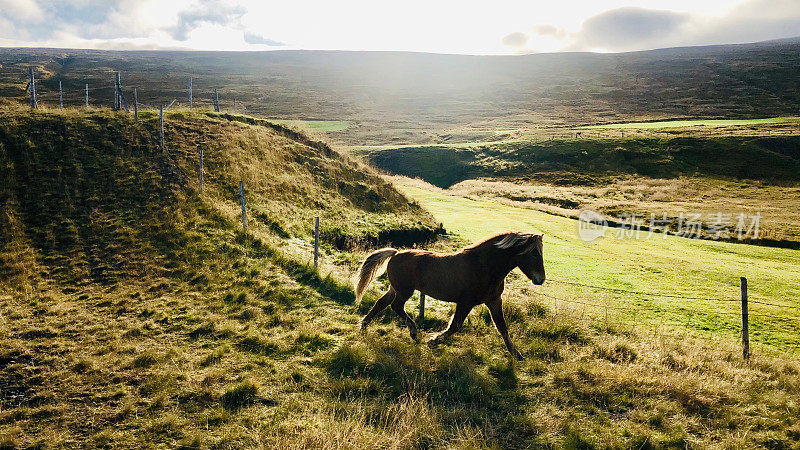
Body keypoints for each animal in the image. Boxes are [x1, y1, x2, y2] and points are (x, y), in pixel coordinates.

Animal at [354, 232, 544, 362]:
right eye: (534, 253)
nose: (540, 279)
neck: (484, 266)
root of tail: (395, 253)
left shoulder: (494, 301)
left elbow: (502, 327)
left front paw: (517, 355)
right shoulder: (466, 302)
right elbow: (455, 326)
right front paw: (433, 341)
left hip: (396, 289)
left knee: (381, 303)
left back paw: (364, 327)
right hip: (404, 290)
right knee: (396, 307)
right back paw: (413, 332)